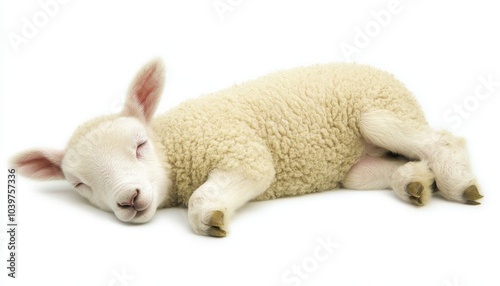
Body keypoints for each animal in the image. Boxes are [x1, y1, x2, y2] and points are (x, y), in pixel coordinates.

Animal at [9, 58, 482, 237]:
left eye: (140, 144)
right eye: (80, 185)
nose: (129, 198)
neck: (175, 145)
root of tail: (395, 80)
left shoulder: (242, 150)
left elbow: (215, 192)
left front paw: (210, 217)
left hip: (378, 111)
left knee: (442, 140)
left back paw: (459, 185)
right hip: (357, 169)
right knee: (402, 162)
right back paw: (417, 183)